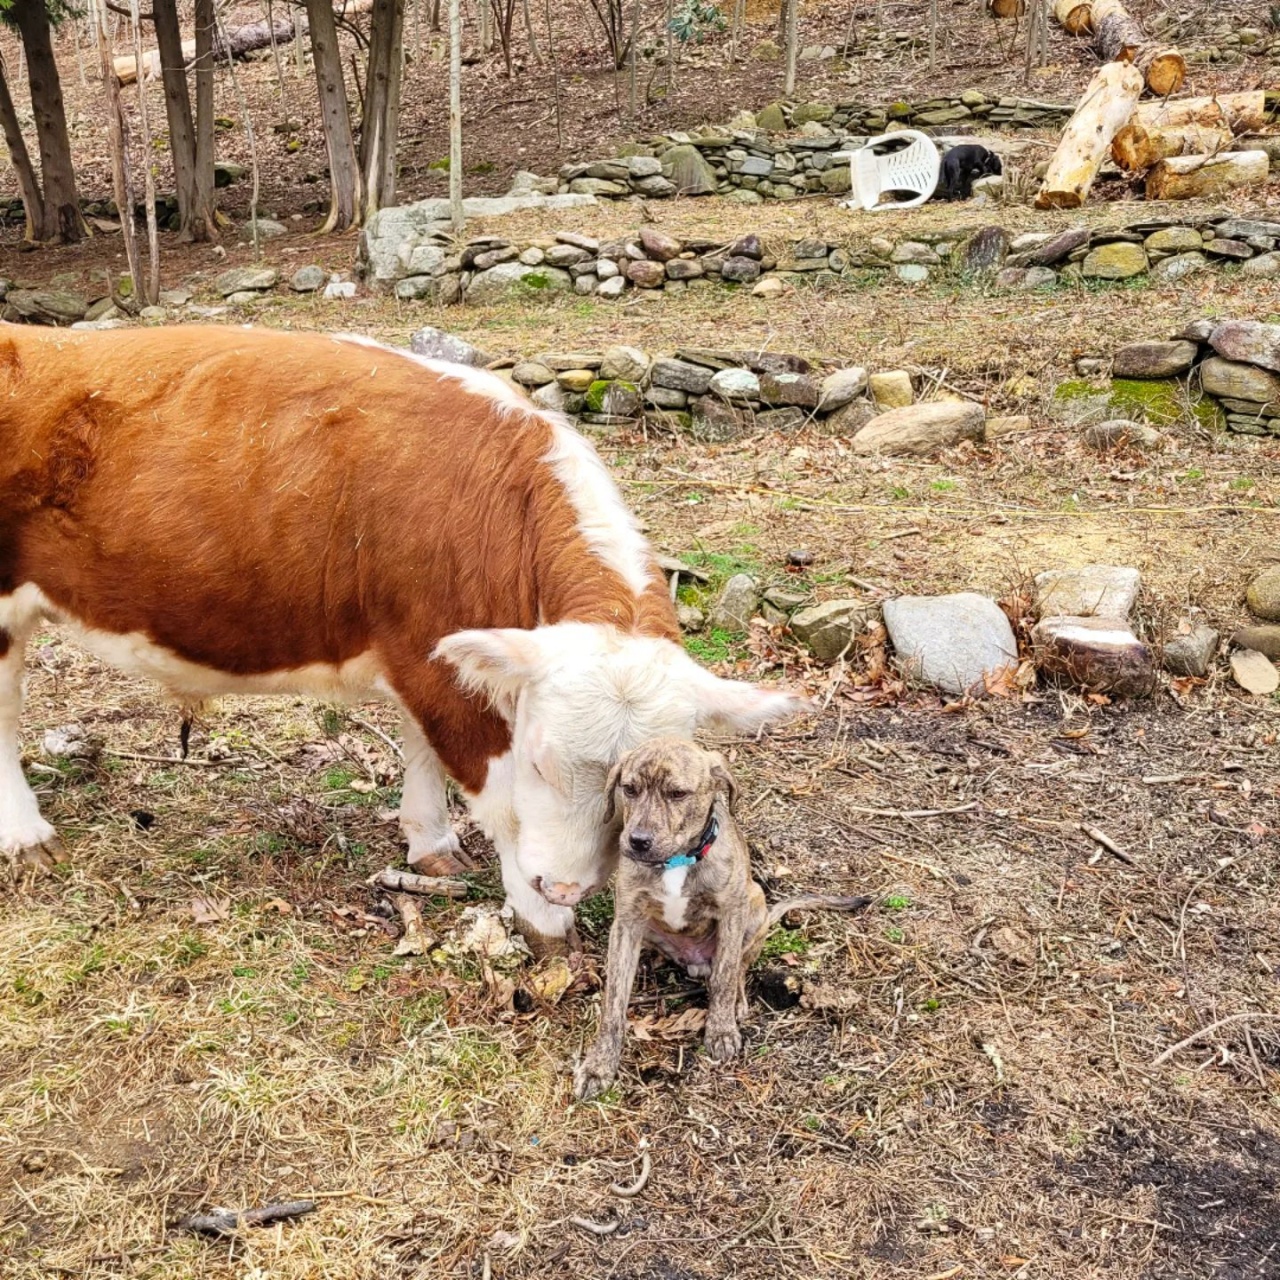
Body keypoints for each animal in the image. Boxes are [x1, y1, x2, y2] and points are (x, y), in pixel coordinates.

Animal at [0, 325, 798, 947]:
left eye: (638, 792)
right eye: (542, 761)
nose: (567, 888)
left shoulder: (427, 652)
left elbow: (420, 748)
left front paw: (431, 843)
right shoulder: (436, 667)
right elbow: (500, 802)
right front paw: (541, 921)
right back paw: (24, 833)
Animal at [578, 742, 870, 1100]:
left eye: (678, 793)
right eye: (629, 789)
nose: (638, 841)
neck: (676, 862)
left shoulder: (731, 912)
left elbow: (725, 975)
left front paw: (720, 1030)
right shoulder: (627, 921)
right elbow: (614, 1001)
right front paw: (599, 1065)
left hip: (754, 905)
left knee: (739, 965)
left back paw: (737, 1001)